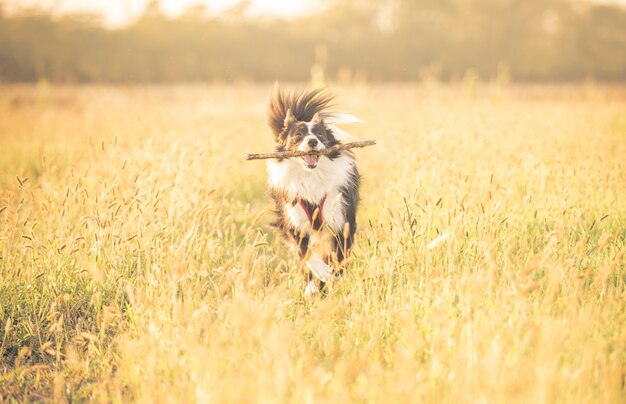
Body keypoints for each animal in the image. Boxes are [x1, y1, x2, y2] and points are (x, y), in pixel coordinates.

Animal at [264, 87, 360, 296]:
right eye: (298, 135)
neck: (311, 176)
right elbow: (305, 254)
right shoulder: (293, 222)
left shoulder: (342, 221)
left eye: (320, 135)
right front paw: (319, 277)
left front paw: (333, 277)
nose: (313, 142)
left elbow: (339, 257)